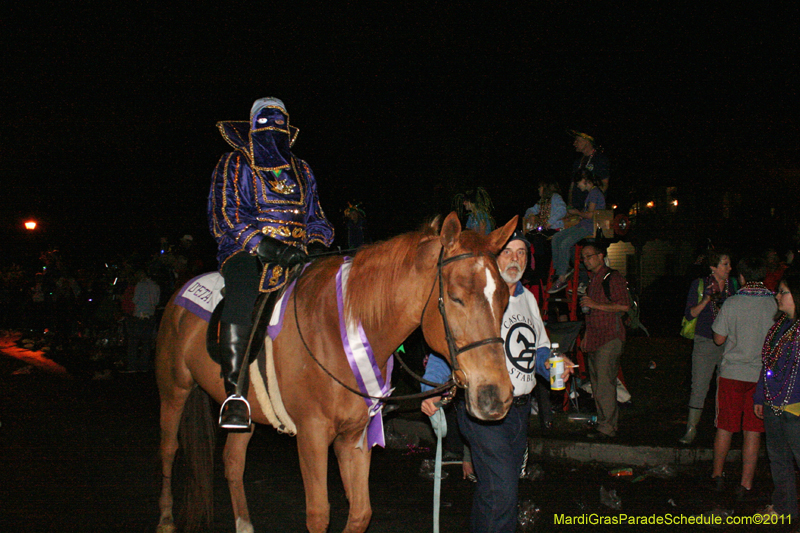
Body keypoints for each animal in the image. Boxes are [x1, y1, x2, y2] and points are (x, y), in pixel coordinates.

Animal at [155, 212, 516, 532]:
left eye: (504, 299)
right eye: (455, 298)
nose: (495, 397)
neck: (337, 329)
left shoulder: (354, 436)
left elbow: (360, 514)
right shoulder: (312, 435)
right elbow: (319, 515)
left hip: (244, 417)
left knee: (232, 462)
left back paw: (243, 524)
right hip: (173, 391)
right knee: (169, 449)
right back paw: (166, 519)